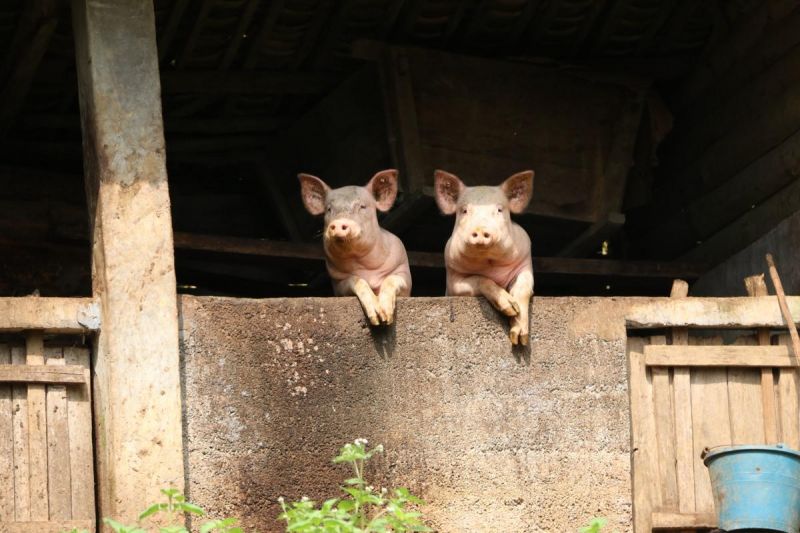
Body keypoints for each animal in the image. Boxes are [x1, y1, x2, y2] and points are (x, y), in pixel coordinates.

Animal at [300, 168, 412, 324]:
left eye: (362, 206)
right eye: (329, 209)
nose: (338, 223)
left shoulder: (404, 271)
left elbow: (392, 279)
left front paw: (385, 317)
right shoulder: (338, 282)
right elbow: (356, 280)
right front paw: (377, 318)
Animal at [434, 169, 536, 344]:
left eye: (500, 210)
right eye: (465, 210)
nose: (480, 229)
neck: (489, 263)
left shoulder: (525, 263)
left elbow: (523, 289)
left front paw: (519, 339)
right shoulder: (453, 279)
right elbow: (480, 279)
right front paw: (510, 307)